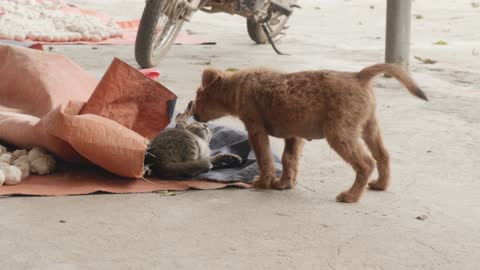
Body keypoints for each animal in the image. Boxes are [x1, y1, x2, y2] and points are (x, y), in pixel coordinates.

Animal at [190, 63, 428, 202]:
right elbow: (289, 160)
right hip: (369, 128)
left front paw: (262, 183)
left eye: (199, 94)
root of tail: (359, 76)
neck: (237, 86)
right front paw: (284, 184)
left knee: (366, 163)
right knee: (383, 156)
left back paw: (351, 196)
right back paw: (380, 185)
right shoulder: (293, 135)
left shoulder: (256, 130)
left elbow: (265, 159)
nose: (192, 113)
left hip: (339, 134)